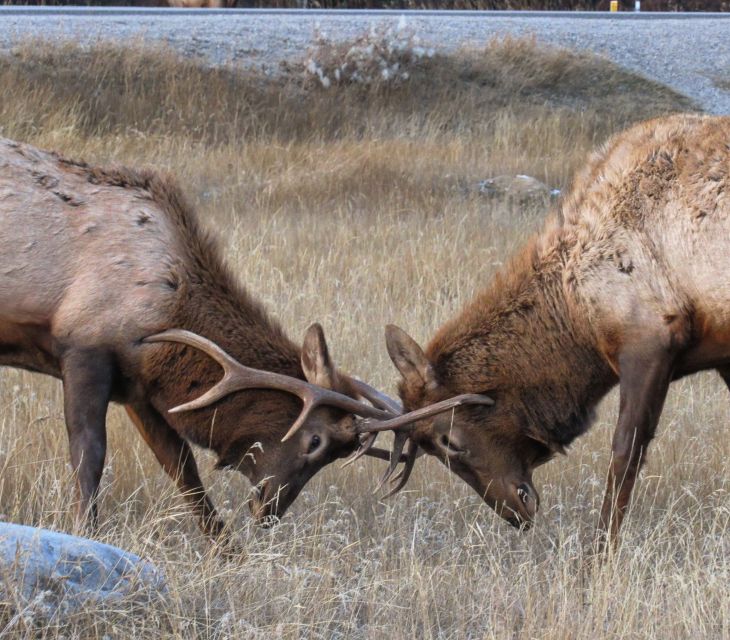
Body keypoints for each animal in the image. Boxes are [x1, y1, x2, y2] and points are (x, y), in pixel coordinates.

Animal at [366, 114, 728, 544]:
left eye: (448, 441)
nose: (514, 511)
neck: (576, 312)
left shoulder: (650, 341)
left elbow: (625, 455)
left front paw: (600, 551)